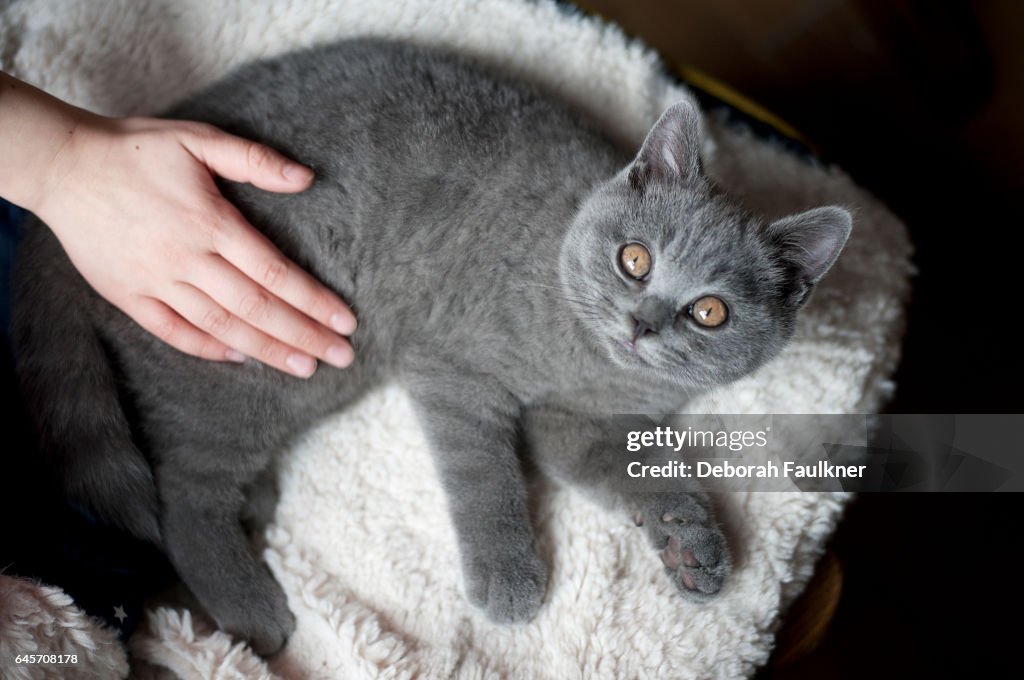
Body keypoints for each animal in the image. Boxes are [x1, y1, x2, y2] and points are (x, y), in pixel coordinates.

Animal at [12, 39, 851, 655]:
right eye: (635, 258)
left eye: (710, 311)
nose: (642, 323)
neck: (583, 361)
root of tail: (63, 244)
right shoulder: (456, 366)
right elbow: (486, 476)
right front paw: (509, 576)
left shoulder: (579, 424)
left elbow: (629, 469)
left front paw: (691, 544)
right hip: (255, 363)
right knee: (181, 495)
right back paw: (251, 606)